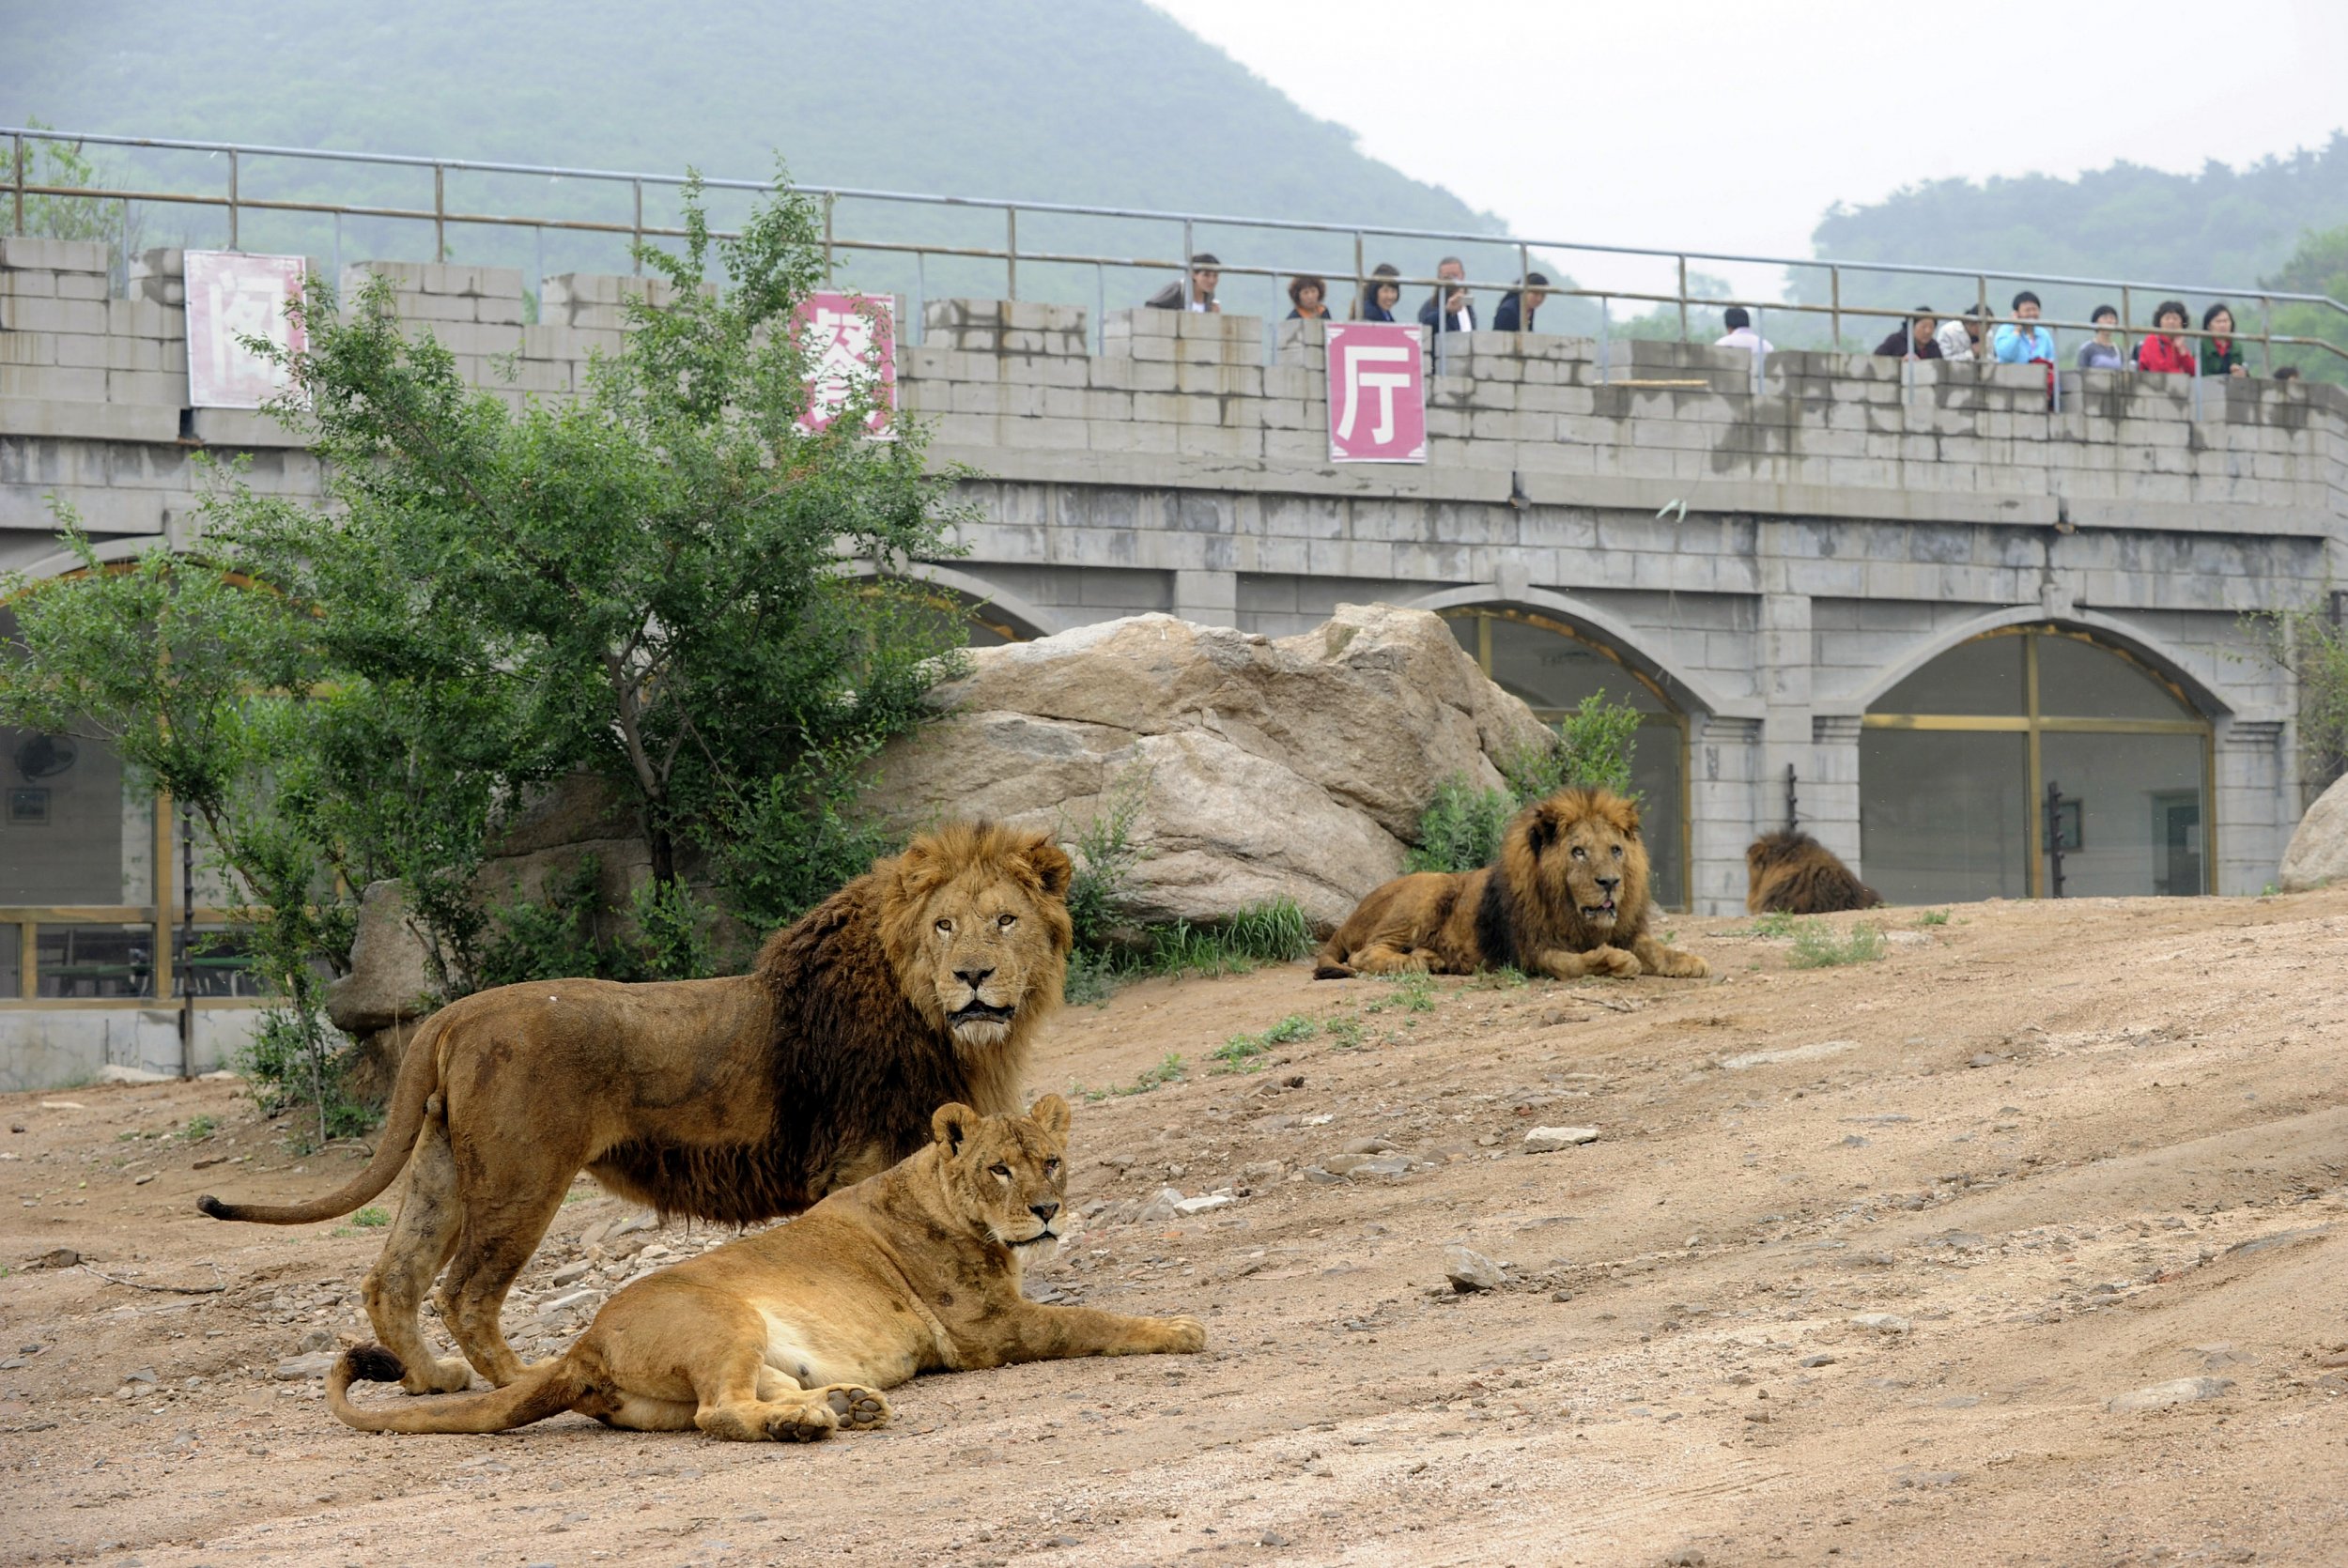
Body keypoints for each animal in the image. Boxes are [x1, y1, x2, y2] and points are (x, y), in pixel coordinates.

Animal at [199, 822, 1075, 1399]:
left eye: (1005, 920)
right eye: (944, 925)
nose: (971, 976)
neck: (933, 1018)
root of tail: (455, 1013)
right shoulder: (859, 1163)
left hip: (443, 1169)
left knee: (393, 1278)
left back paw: (429, 1380)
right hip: (523, 1176)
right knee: (466, 1292)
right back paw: (518, 1378)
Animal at [326, 1089, 1212, 1446]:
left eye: (1052, 1161)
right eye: (1000, 1169)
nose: (1048, 1210)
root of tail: (583, 1344)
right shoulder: (989, 1330)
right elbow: (1090, 1318)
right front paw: (1179, 1328)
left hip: (735, 1361)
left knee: (741, 1398)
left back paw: (844, 1404)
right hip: (726, 1318)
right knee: (719, 1413)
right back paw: (812, 1423)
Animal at [1324, 784, 1709, 981]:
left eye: (1616, 850)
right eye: (1578, 852)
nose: (1610, 882)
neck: (1575, 915)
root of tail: (1350, 918)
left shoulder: (1626, 930)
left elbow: (1654, 948)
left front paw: (1689, 961)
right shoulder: (1532, 951)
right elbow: (1574, 963)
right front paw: (1615, 961)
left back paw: (1433, 959)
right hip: (1428, 890)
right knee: (1363, 953)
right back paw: (1412, 963)